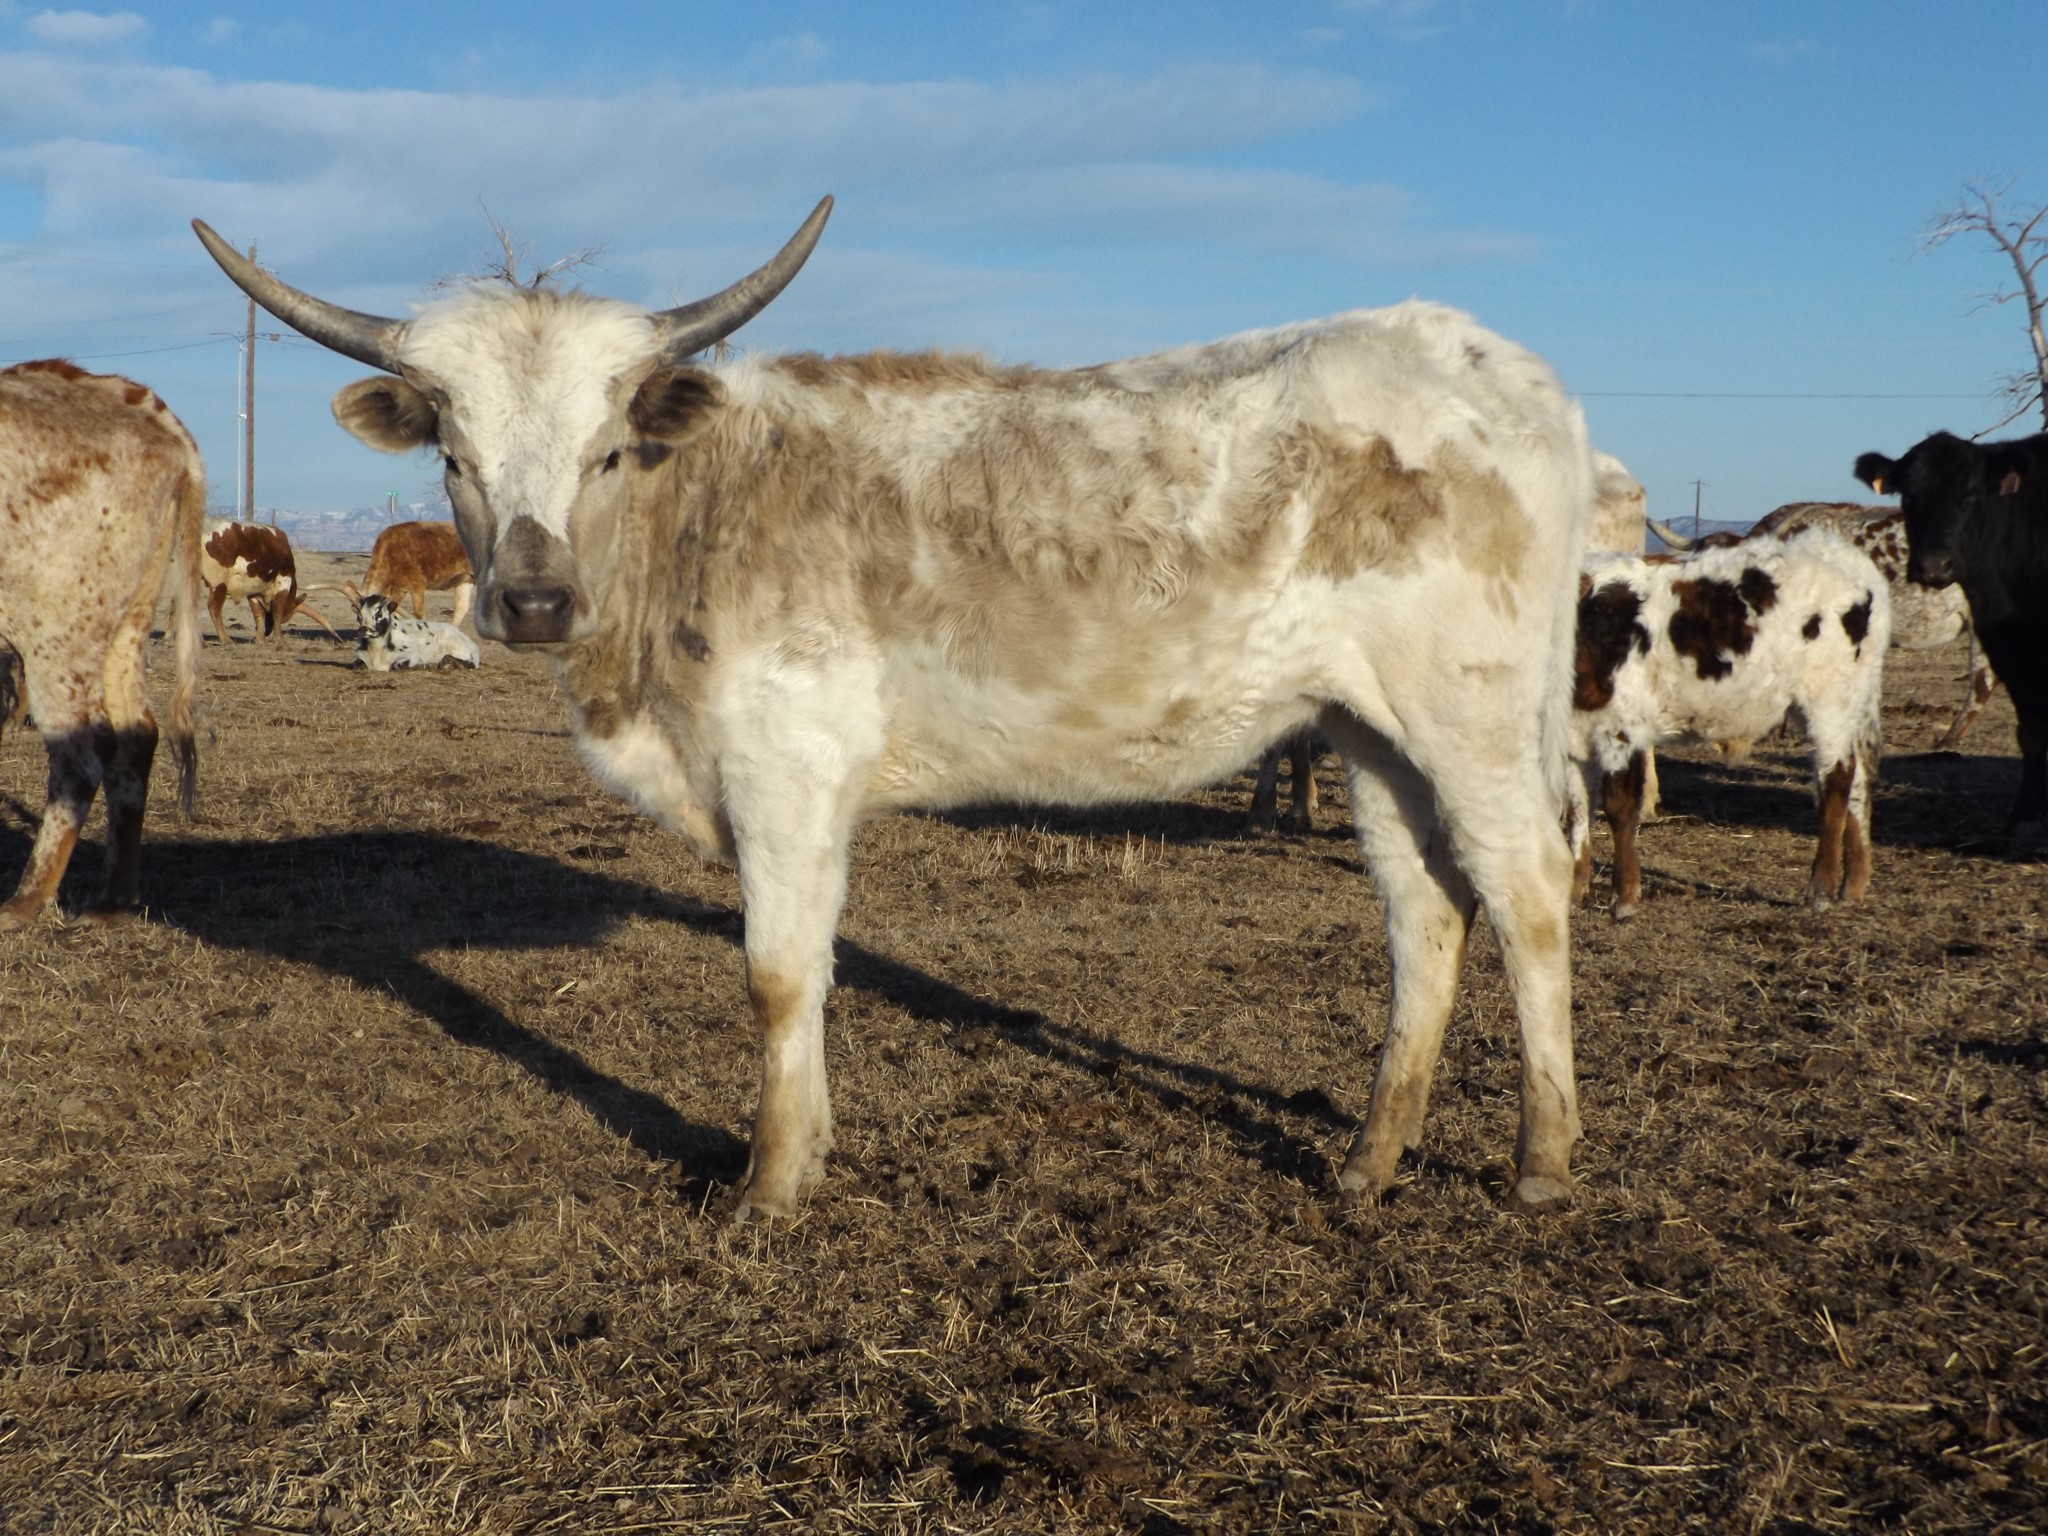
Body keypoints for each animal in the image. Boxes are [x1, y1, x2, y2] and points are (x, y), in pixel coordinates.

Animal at [0, 360, 202, 926]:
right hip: (122, 627)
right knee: (137, 735)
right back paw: (114, 899)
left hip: (56, 635)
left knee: (83, 754)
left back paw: (24, 900)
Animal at [201, 519, 342, 644]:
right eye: (286, 617)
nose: (267, 632)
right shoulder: (284, 581)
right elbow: (277, 610)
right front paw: (279, 639)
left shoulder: (255, 589)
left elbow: (258, 613)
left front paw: (260, 640)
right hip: (219, 582)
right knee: (214, 608)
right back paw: (226, 640)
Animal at [352, 591, 482, 672]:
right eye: (359, 615)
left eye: (379, 613)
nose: (364, 629)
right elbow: (357, 664)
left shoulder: (411, 655)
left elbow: (397, 666)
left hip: (461, 651)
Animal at [1568, 526, 1890, 918]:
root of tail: (1843, 556)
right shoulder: (1573, 738)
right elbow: (1578, 811)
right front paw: (1574, 890)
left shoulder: (1621, 729)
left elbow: (1619, 809)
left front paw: (1624, 897)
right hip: (1844, 710)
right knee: (1855, 780)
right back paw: (1852, 886)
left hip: (1828, 702)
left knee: (1836, 781)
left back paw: (1820, 890)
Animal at [1856, 431, 2048, 825]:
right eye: (1908, 494)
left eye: (1971, 493)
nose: (1932, 565)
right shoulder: (2009, 647)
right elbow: (2031, 732)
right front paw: (2027, 812)